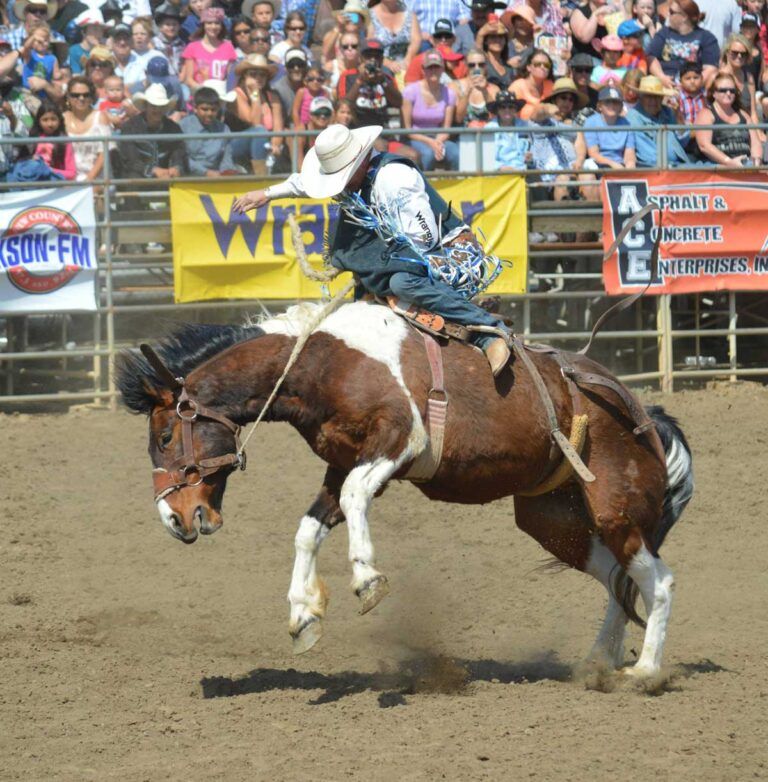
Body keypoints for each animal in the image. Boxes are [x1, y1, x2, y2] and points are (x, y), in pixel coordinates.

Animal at [115, 300, 696, 680]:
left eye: (164, 437)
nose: (175, 519)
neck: (321, 361)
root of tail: (645, 414)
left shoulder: (399, 443)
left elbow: (355, 499)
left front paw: (367, 580)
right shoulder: (342, 463)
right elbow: (309, 528)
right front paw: (303, 614)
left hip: (615, 509)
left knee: (660, 582)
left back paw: (645, 671)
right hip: (552, 519)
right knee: (620, 581)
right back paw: (598, 664)